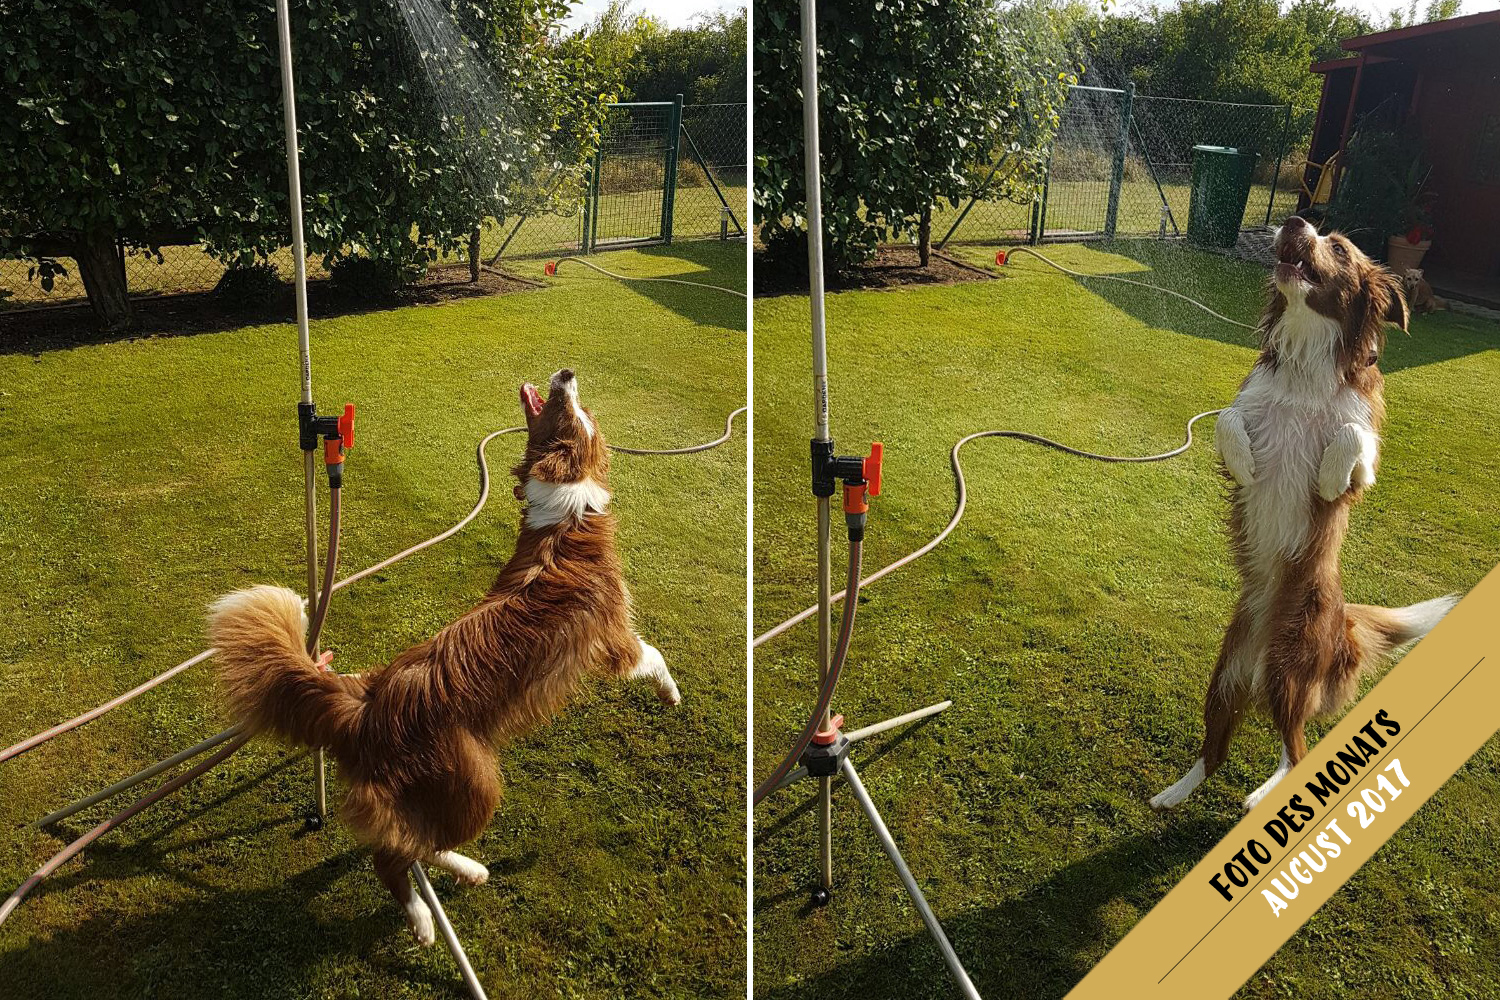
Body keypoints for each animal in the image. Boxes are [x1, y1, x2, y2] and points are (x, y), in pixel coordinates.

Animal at [208, 370, 684, 947]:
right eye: (571, 412)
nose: (566, 373)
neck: (565, 520)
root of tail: (366, 704)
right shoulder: (612, 639)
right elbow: (653, 656)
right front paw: (671, 693)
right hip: (474, 785)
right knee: (394, 855)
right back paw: (421, 918)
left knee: (412, 843)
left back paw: (469, 872)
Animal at [1146, 217, 1452, 815]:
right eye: (1318, 232)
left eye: (1340, 249)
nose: (1293, 222)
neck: (1309, 358)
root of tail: (1342, 623)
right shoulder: (1247, 406)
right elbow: (1228, 419)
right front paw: (1246, 463)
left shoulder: (1365, 465)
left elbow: (1353, 436)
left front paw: (1329, 476)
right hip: (1226, 675)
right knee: (1215, 750)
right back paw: (1174, 793)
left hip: (1291, 672)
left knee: (1298, 751)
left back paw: (1265, 795)